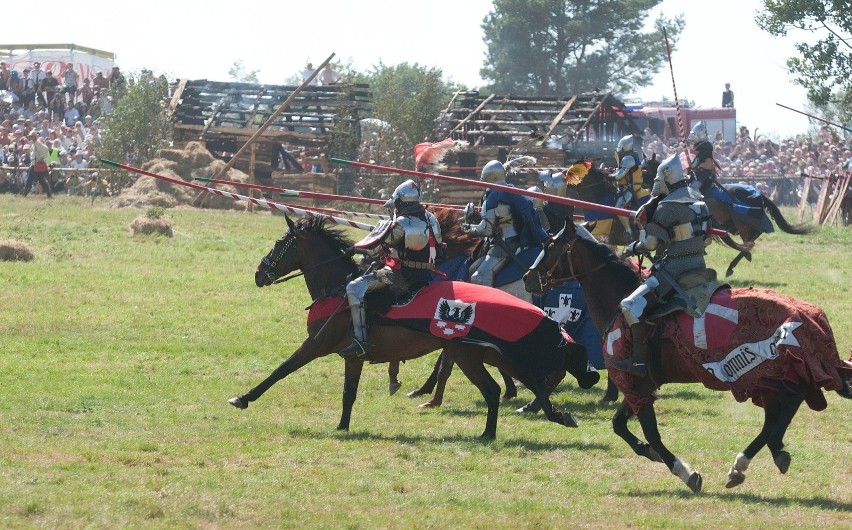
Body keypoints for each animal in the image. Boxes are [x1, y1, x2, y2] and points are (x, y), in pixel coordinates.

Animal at [228, 211, 600, 438]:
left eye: (281, 244)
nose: (260, 274)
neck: (336, 287)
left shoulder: (316, 345)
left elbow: (281, 370)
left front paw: (243, 398)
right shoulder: (352, 357)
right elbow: (348, 393)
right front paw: (343, 426)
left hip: (472, 355)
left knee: (506, 386)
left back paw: (495, 430)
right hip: (483, 354)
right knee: (519, 385)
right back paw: (536, 420)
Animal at [524, 219, 852, 490]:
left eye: (549, 246)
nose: (528, 277)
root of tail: (806, 314)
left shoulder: (634, 382)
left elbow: (649, 431)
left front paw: (684, 471)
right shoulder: (644, 384)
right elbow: (620, 425)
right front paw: (649, 452)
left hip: (761, 372)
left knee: (791, 399)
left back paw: (755, 457)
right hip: (765, 376)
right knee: (783, 406)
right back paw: (755, 459)